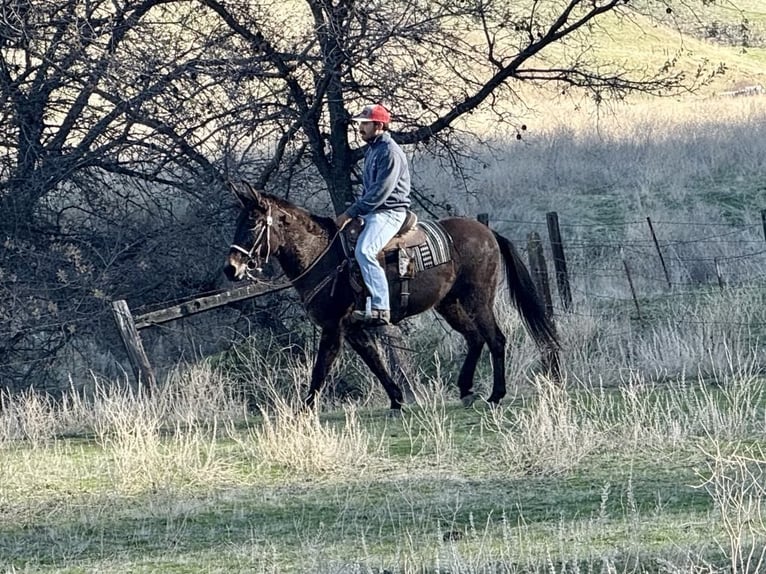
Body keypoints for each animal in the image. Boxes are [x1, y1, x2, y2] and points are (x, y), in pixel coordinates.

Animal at [225, 187, 560, 412]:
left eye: (253, 223)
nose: (231, 268)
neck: (324, 256)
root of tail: (488, 233)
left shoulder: (333, 327)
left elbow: (321, 369)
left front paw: (304, 411)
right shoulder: (353, 329)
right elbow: (375, 362)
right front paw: (397, 399)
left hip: (478, 299)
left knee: (495, 339)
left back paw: (495, 395)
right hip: (450, 304)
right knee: (475, 338)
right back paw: (466, 390)